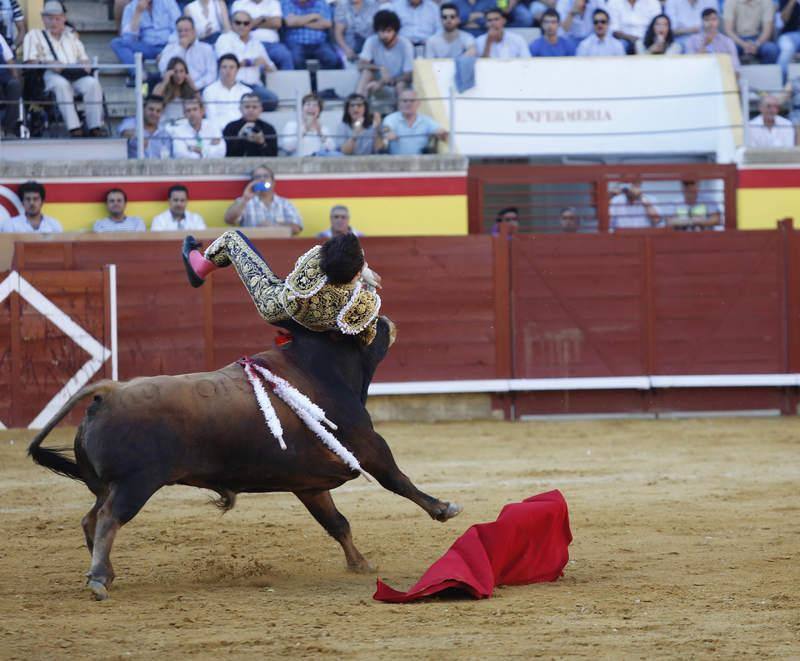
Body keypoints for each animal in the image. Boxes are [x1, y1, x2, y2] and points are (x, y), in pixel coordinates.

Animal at [28, 318, 460, 600]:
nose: (388, 320)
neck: (323, 369)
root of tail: (108, 393)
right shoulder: (368, 447)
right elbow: (398, 481)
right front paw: (443, 508)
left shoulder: (310, 485)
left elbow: (337, 523)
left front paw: (360, 564)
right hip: (135, 484)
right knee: (108, 518)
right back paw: (100, 579)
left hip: (108, 485)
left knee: (91, 518)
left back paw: (106, 572)